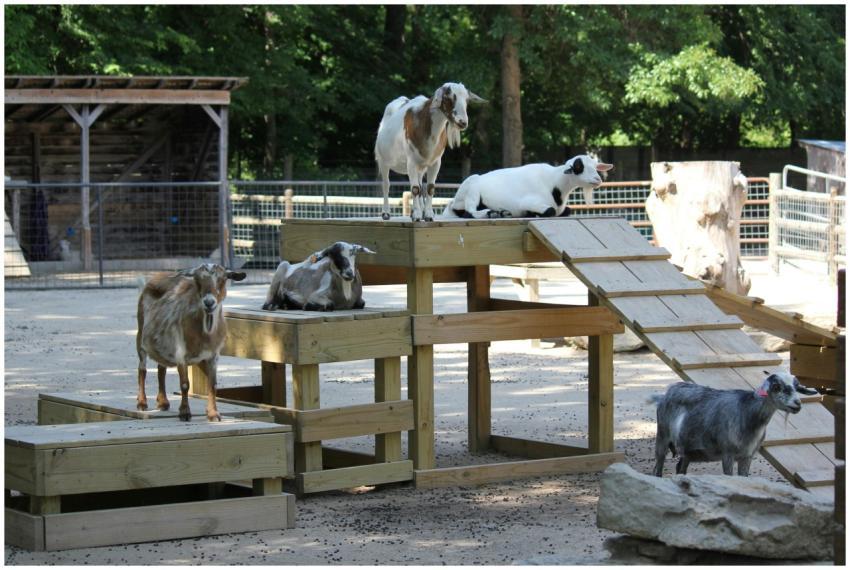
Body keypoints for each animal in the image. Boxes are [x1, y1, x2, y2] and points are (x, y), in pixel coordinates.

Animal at [136, 263, 246, 421]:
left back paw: (163, 402)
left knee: (161, 368)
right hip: (140, 335)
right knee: (142, 369)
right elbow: (184, 384)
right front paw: (185, 412)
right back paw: (142, 403)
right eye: (197, 280)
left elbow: (212, 384)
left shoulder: (214, 355)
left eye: (222, 279)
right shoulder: (180, 353)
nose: (209, 302)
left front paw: (213, 414)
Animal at [375, 82, 486, 222]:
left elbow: (429, 188)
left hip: (421, 166)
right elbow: (415, 189)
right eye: (448, 98)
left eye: (467, 100)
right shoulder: (411, 162)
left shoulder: (435, 162)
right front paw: (417, 216)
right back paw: (386, 213)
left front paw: (427, 215)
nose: (462, 122)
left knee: (420, 184)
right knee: (386, 184)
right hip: (383, 161)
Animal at [441, 154, 614, 219]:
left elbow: (568, 210)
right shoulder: (527, 202)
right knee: (469, 212)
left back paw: (501, 212)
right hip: (472, 188)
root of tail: (454, 202)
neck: (554, 182)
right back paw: (491, 213)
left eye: (595, 166)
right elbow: (550, 211)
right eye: (578, 167)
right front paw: (533, 214)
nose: (598, 179)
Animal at [651, 371, 818, 477]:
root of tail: (667, 392)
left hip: (687, 450)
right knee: (657, 467)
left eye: (796, 388)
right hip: (662, 436)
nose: (797, 404)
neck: (746, 412)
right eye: (777, 387)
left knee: (680, 468)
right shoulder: (728, 453)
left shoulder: (747, 456)